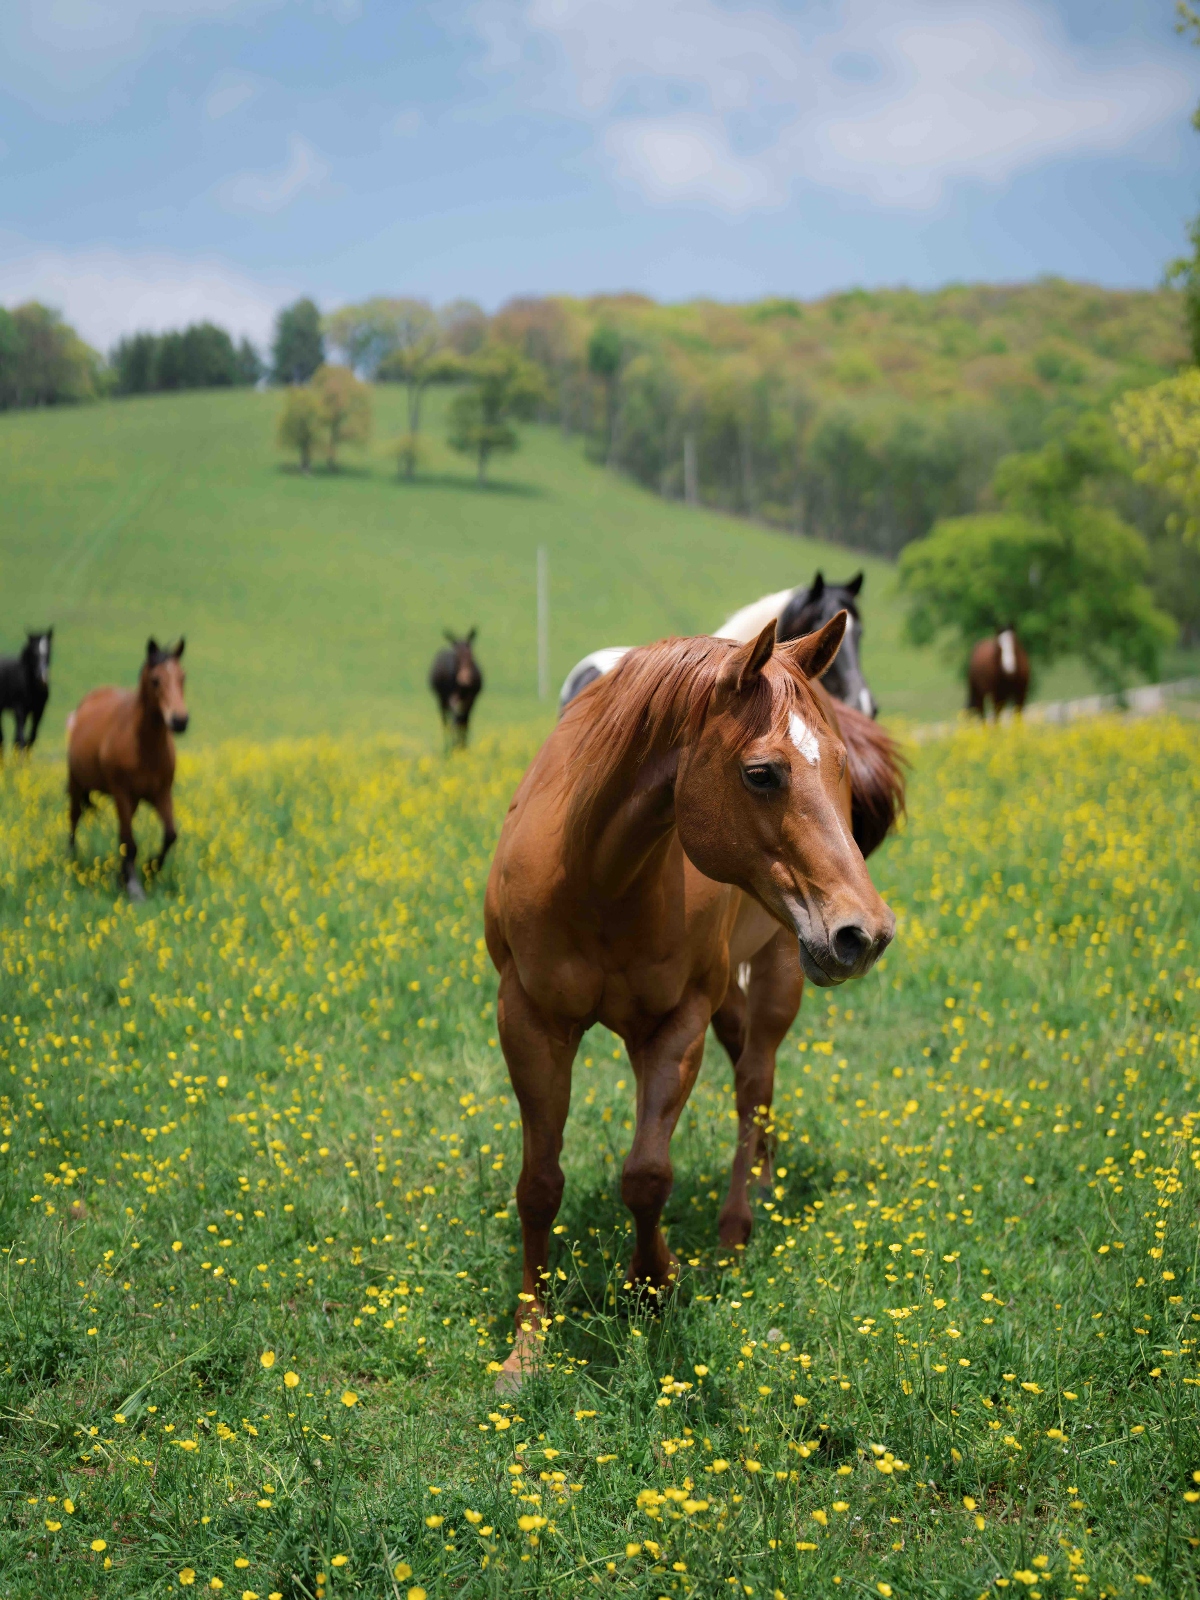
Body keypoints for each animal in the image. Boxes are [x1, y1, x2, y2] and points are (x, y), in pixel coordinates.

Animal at [67, 638, 188, 901]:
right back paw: (71, 861)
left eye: (183, 677)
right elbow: (129, 842)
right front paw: (133, 887)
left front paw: (150, 869)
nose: (180, 720)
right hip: (77, 784)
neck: (143, 746)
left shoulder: (161, 794)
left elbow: (170, 834)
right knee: (74, 818)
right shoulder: (122, 793)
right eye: (155, 680)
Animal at [486, 613, 903, 1389]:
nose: (866, 931)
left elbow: (648, 1175)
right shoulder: (529, 1022)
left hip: (777, 971)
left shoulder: (675, 1022)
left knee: (754, 1086)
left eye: (837, 764)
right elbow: (539, 1183)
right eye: (761, 773)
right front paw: (527, 1346)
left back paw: (737, 1228)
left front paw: (655, 1284)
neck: (595, 876)